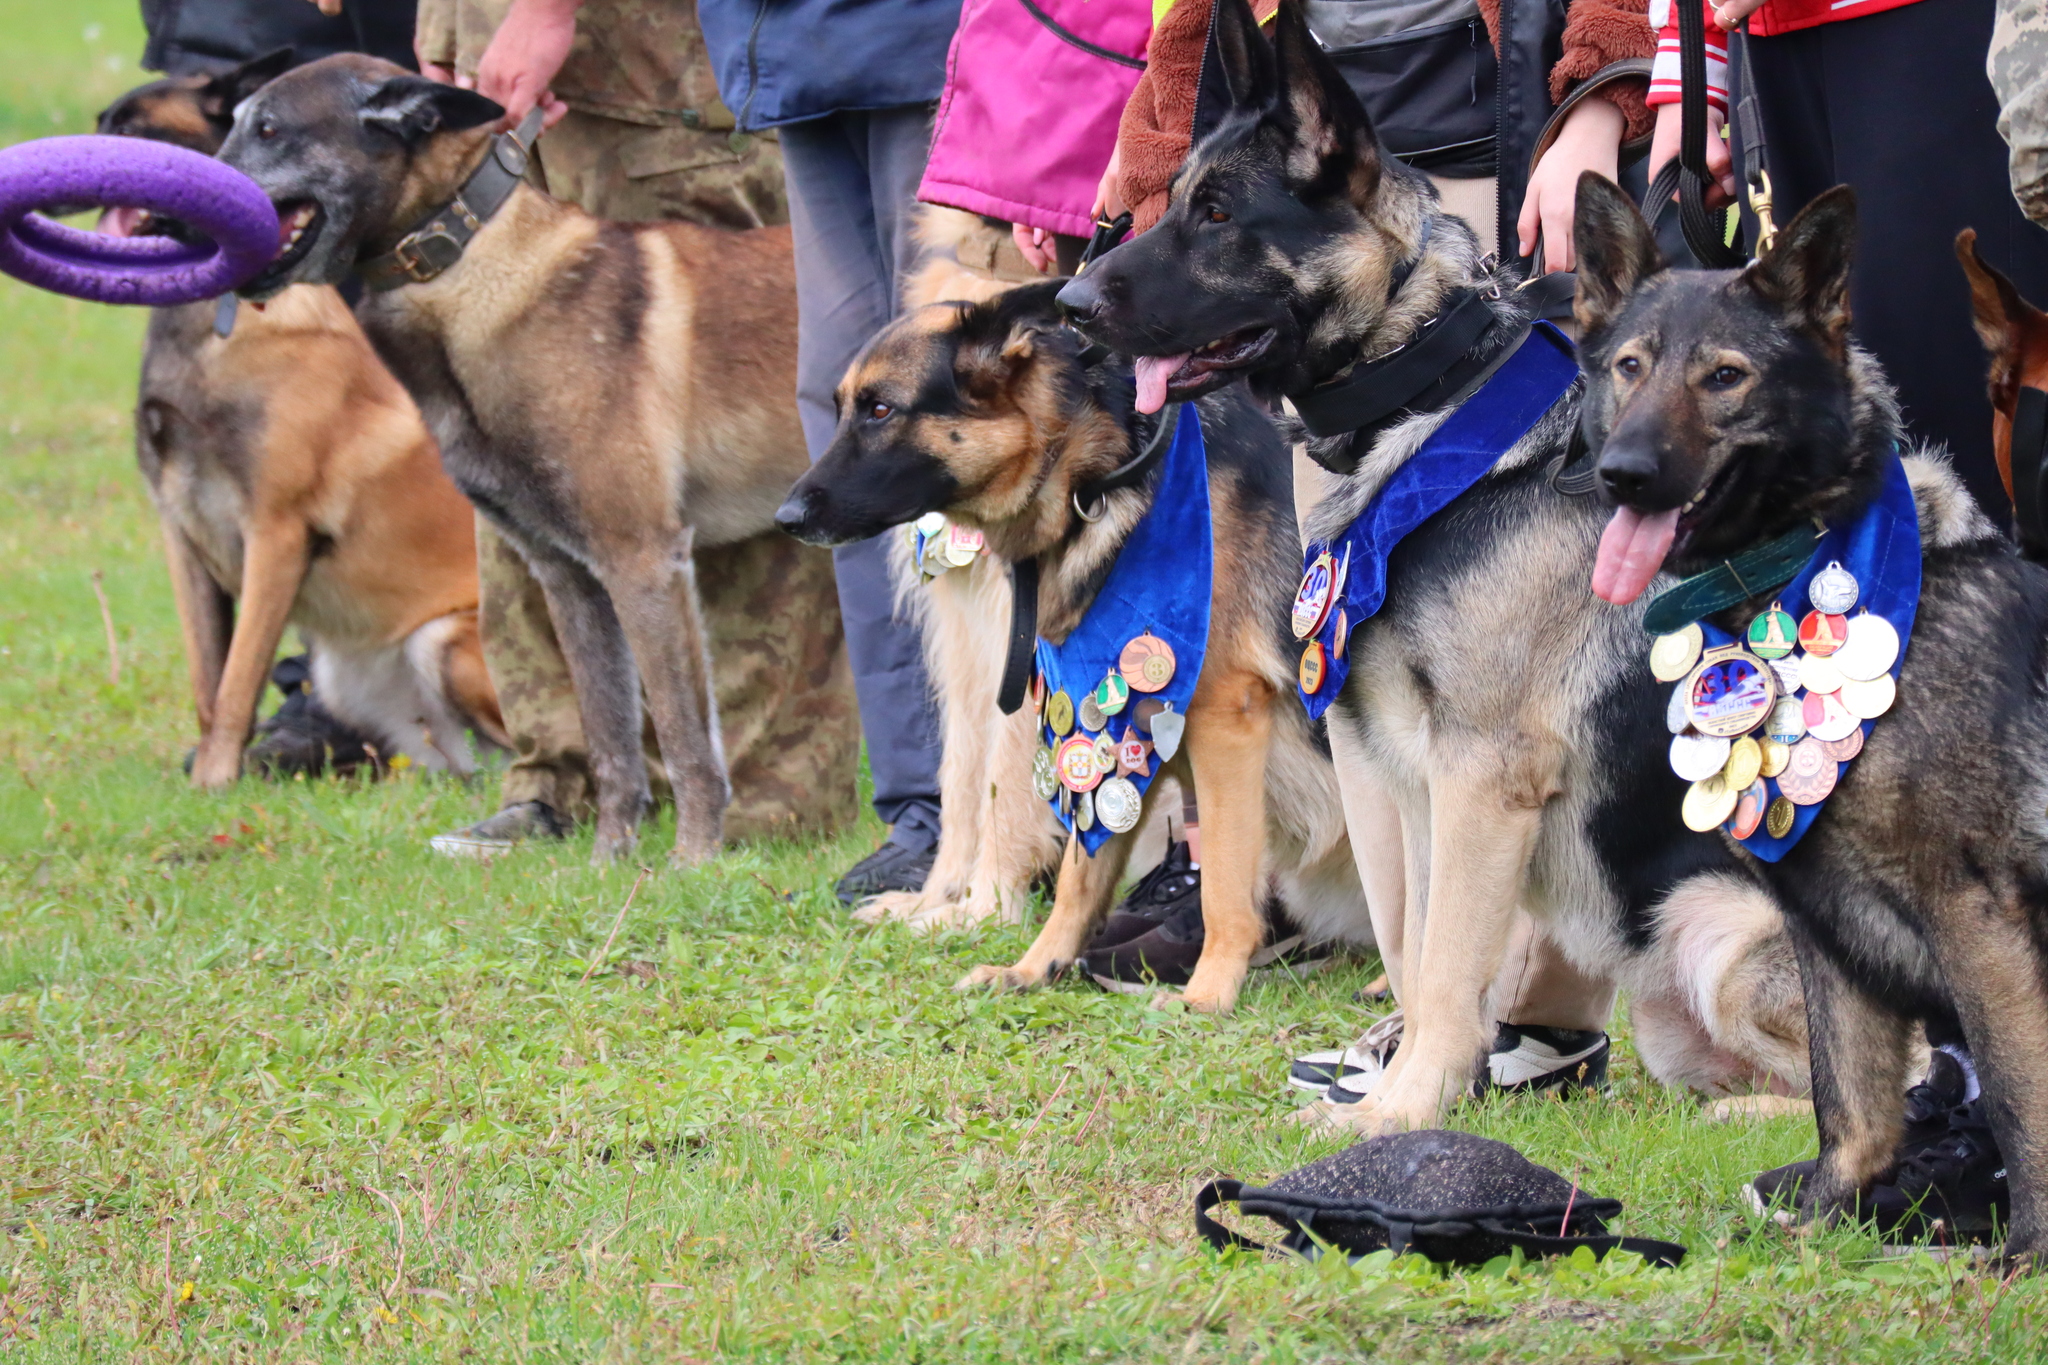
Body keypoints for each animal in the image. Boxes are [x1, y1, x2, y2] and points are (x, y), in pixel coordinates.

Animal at [96, 58, 512, 785]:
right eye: (102, 125)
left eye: (133, 131)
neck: (220, 330)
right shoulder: (182, 535)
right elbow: (208, 683)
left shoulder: (275, 534)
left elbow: (238, 683)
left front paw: (213, 784)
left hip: (443, 637)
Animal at [209, 56, 815, 863]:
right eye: (236, 122)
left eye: (270, 128)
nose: (171, 220)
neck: (467, 271)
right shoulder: (570, 577)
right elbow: (611, 737)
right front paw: (610, 863)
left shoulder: (644, 563)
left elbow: (686, 739)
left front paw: (691, 863)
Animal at [774, 286, 1368, 1015]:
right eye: (843, 409)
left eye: (881, 408)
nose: (786, 518)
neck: (1100, 472)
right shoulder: (1108, 721)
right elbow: (1079, 876)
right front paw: (1034, 967)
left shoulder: (1224, 720)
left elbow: (1225, 881)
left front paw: (1207, 993)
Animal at [1056, 0, 1810, 1121]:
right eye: (1178, 201)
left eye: (1220, 213)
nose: (1067, 302)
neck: (1421, 393)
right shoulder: (1407, 778)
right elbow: (1414, 951)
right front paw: (1394, 1088)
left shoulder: (1481, 779)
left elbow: (1452, 963)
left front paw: (1405, 1112)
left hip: (1717, 925)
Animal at [1581, 179, 2048, 1260]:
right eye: (1629, 368)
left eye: (1723, 377)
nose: (1621, 473)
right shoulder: (1823, 930)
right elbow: (1851, 1106)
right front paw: (1827, 1219)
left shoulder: (1979, 920)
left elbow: (2018, 1097)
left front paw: (2030, 1255)